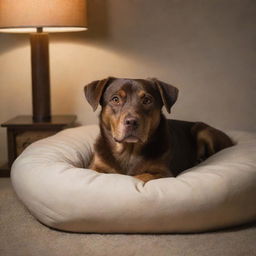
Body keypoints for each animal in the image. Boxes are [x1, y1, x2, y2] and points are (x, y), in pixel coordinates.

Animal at [84, 77, 234, 182]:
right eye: (115, 99)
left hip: (203, 131)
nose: (131, 122)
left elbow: (142, 176)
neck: (129, 151)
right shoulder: (94, 167)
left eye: (147, 100)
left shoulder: (163, 173)